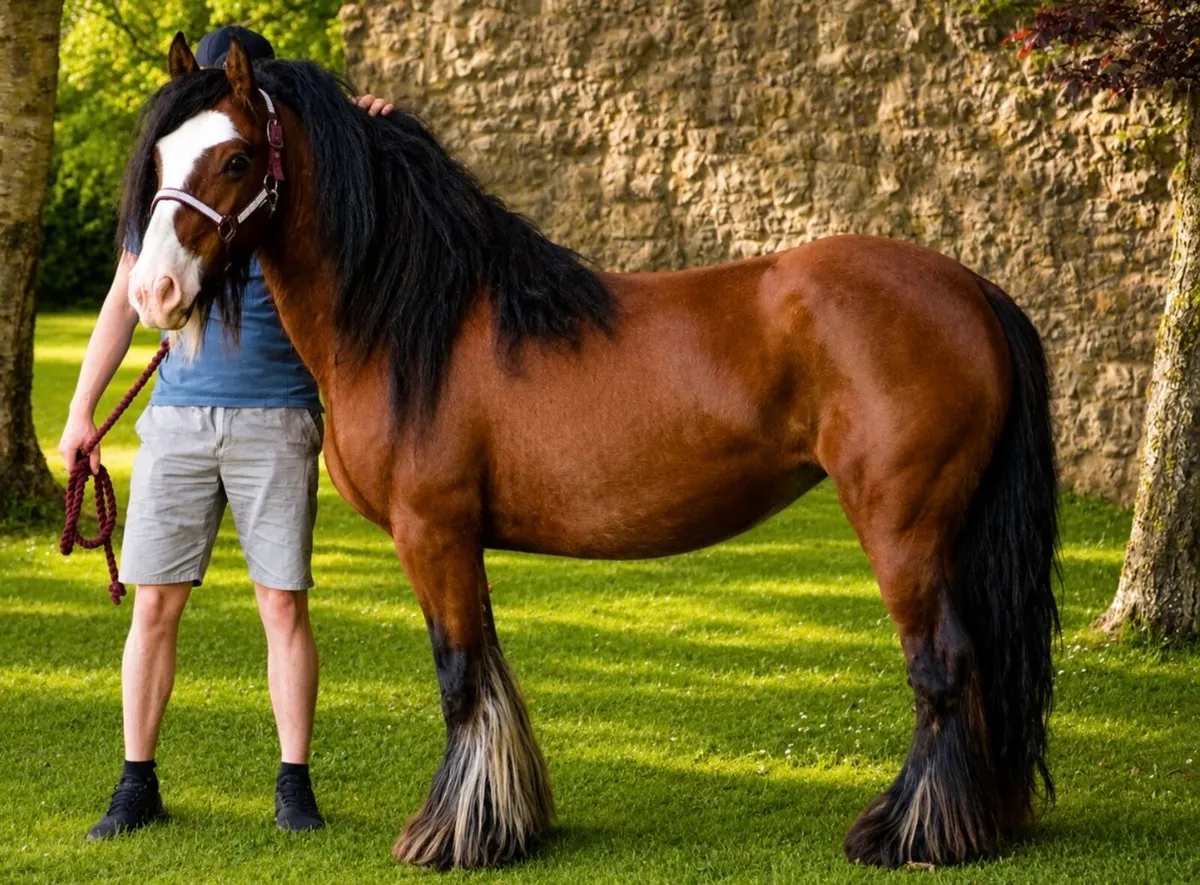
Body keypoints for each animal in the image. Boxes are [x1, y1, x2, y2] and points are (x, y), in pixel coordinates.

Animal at [117, 33, 1060, 871]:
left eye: (235, 160)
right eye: (161, 157)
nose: (153, 293)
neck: (419, 317)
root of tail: (971, 288)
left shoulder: (432, 531)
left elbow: (460, 676)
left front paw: (452, 837)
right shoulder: (460, 541)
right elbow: (490, 671)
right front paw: (506, 822)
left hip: (901, 526)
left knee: (942, 665)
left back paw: (908, 835)